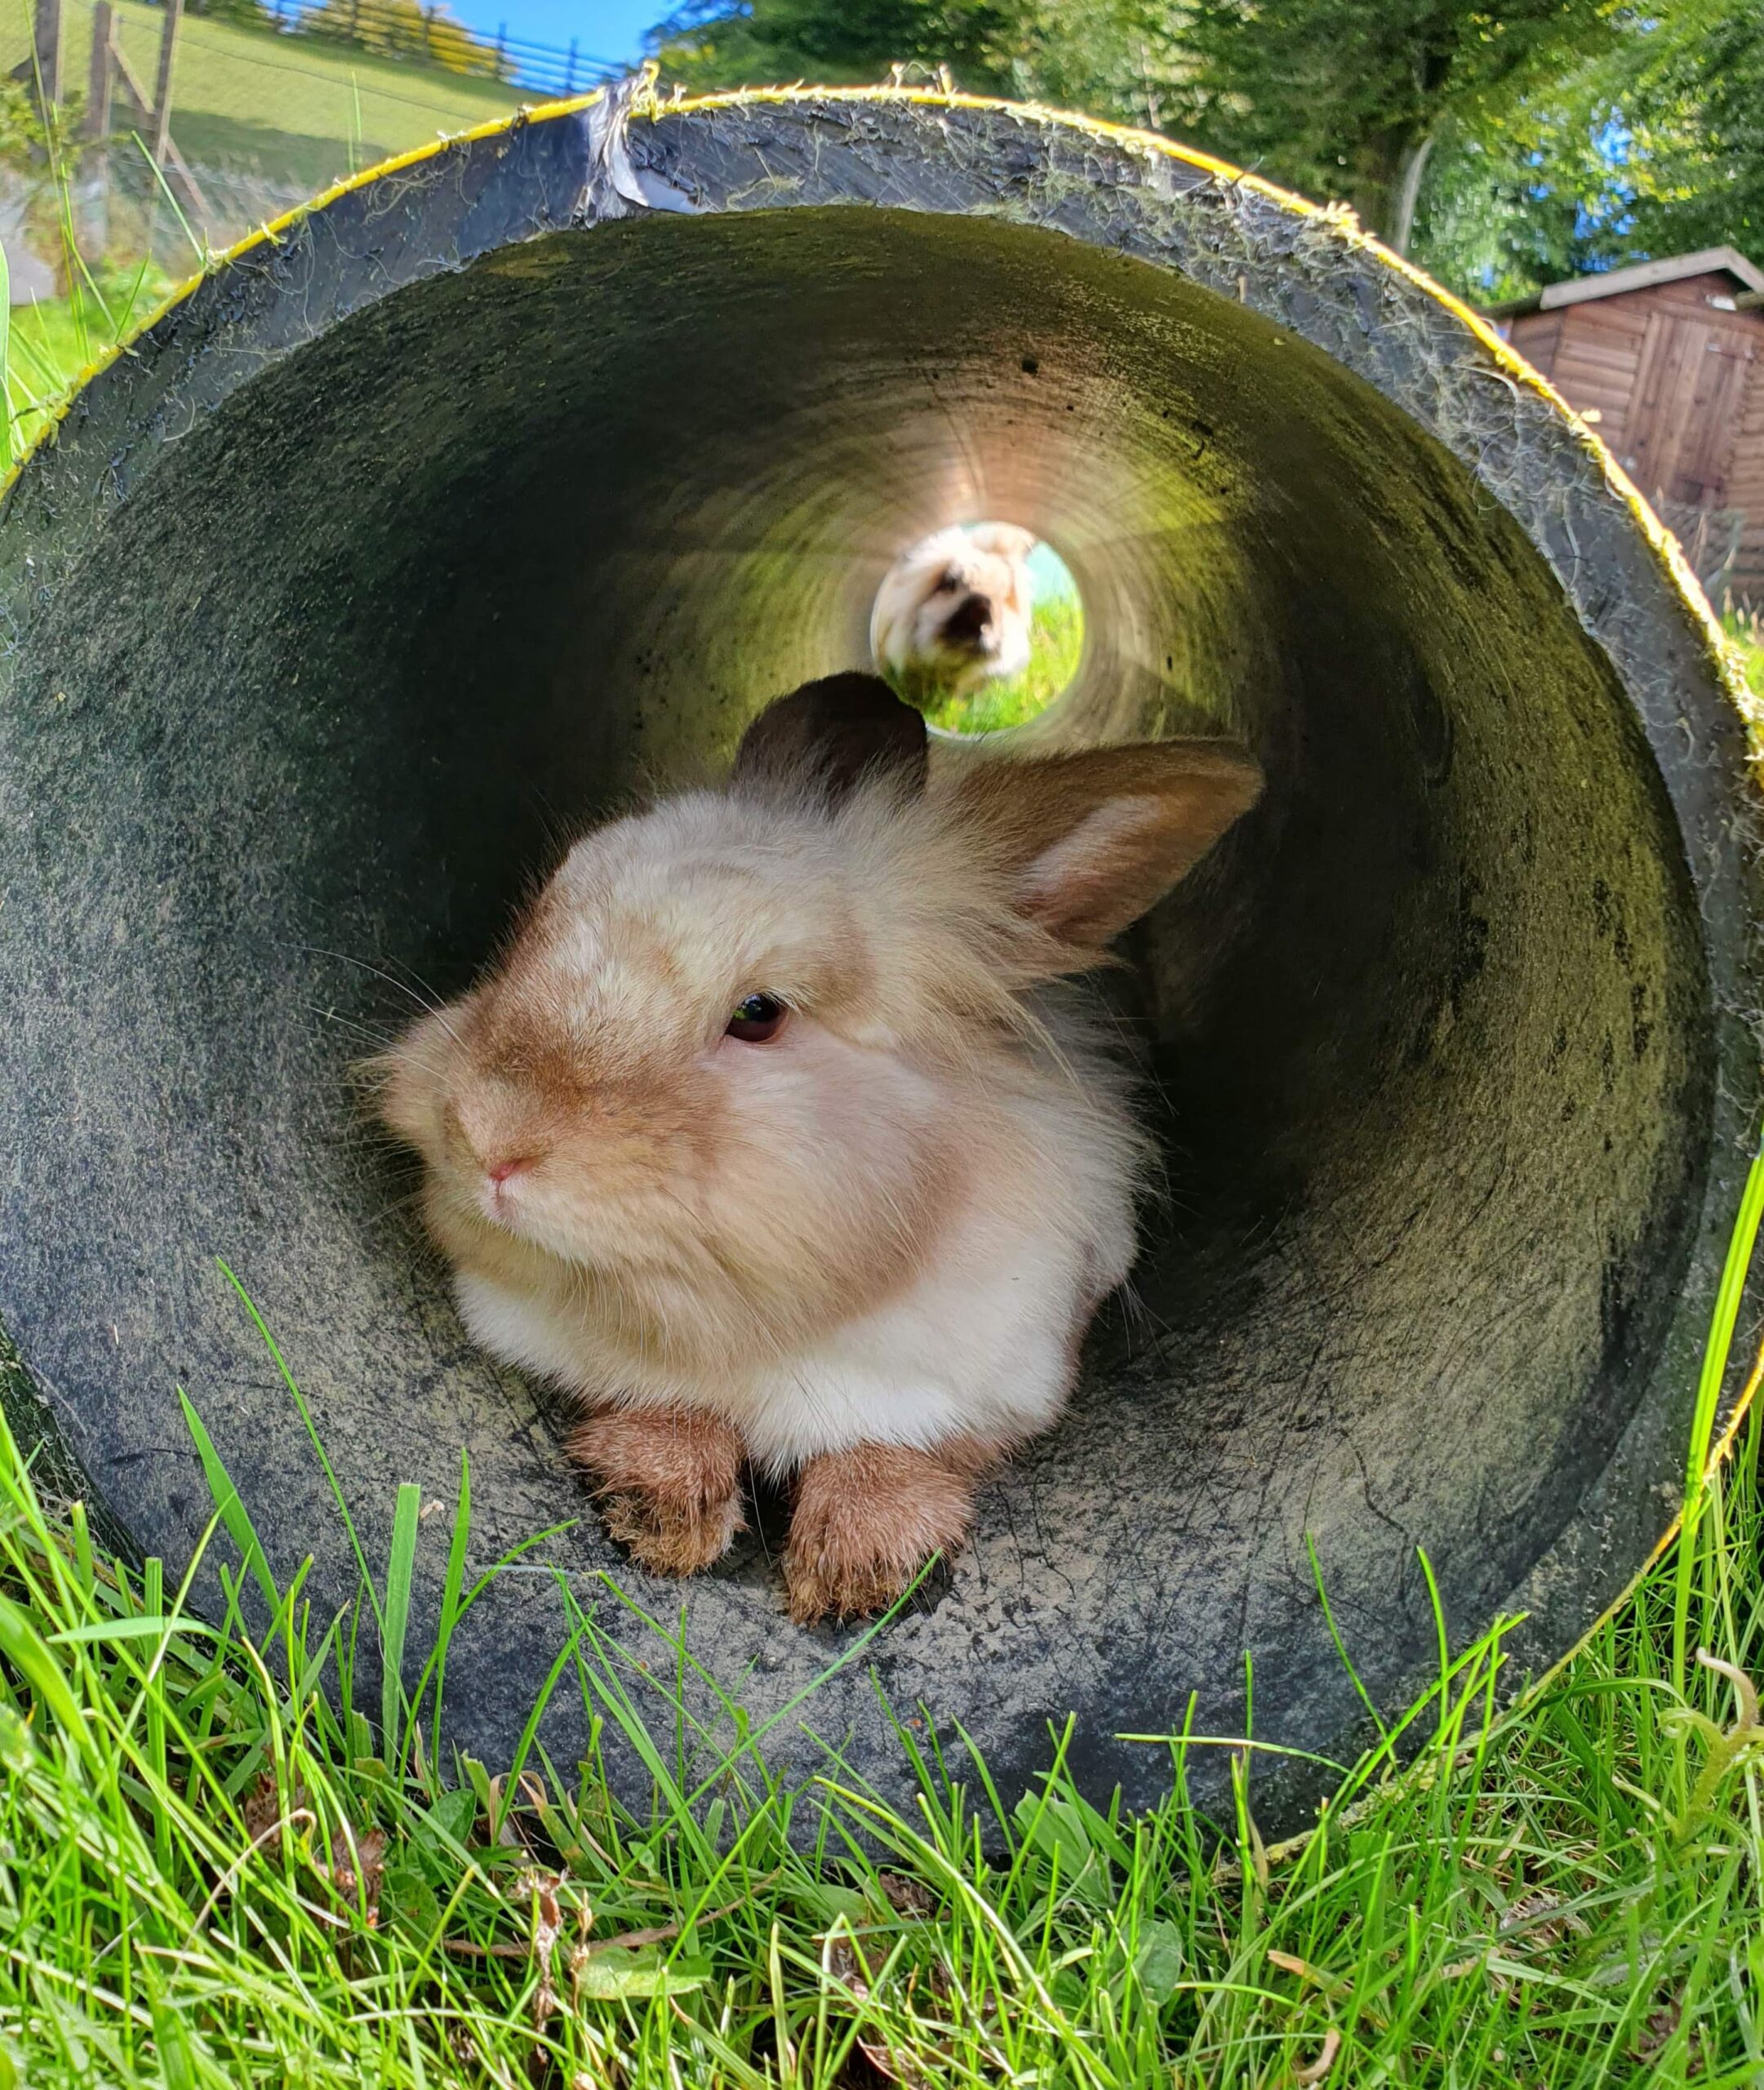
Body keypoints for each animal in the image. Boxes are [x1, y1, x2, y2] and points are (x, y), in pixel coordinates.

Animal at [375, 673, 1262, 1622]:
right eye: (534, 922)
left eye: (759, 1013)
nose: (487, 1137)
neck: (754, 1334)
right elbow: (663, 1409)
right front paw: (658, 1512)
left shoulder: (993, 1375)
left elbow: (902, 1450)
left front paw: (858, 1573)